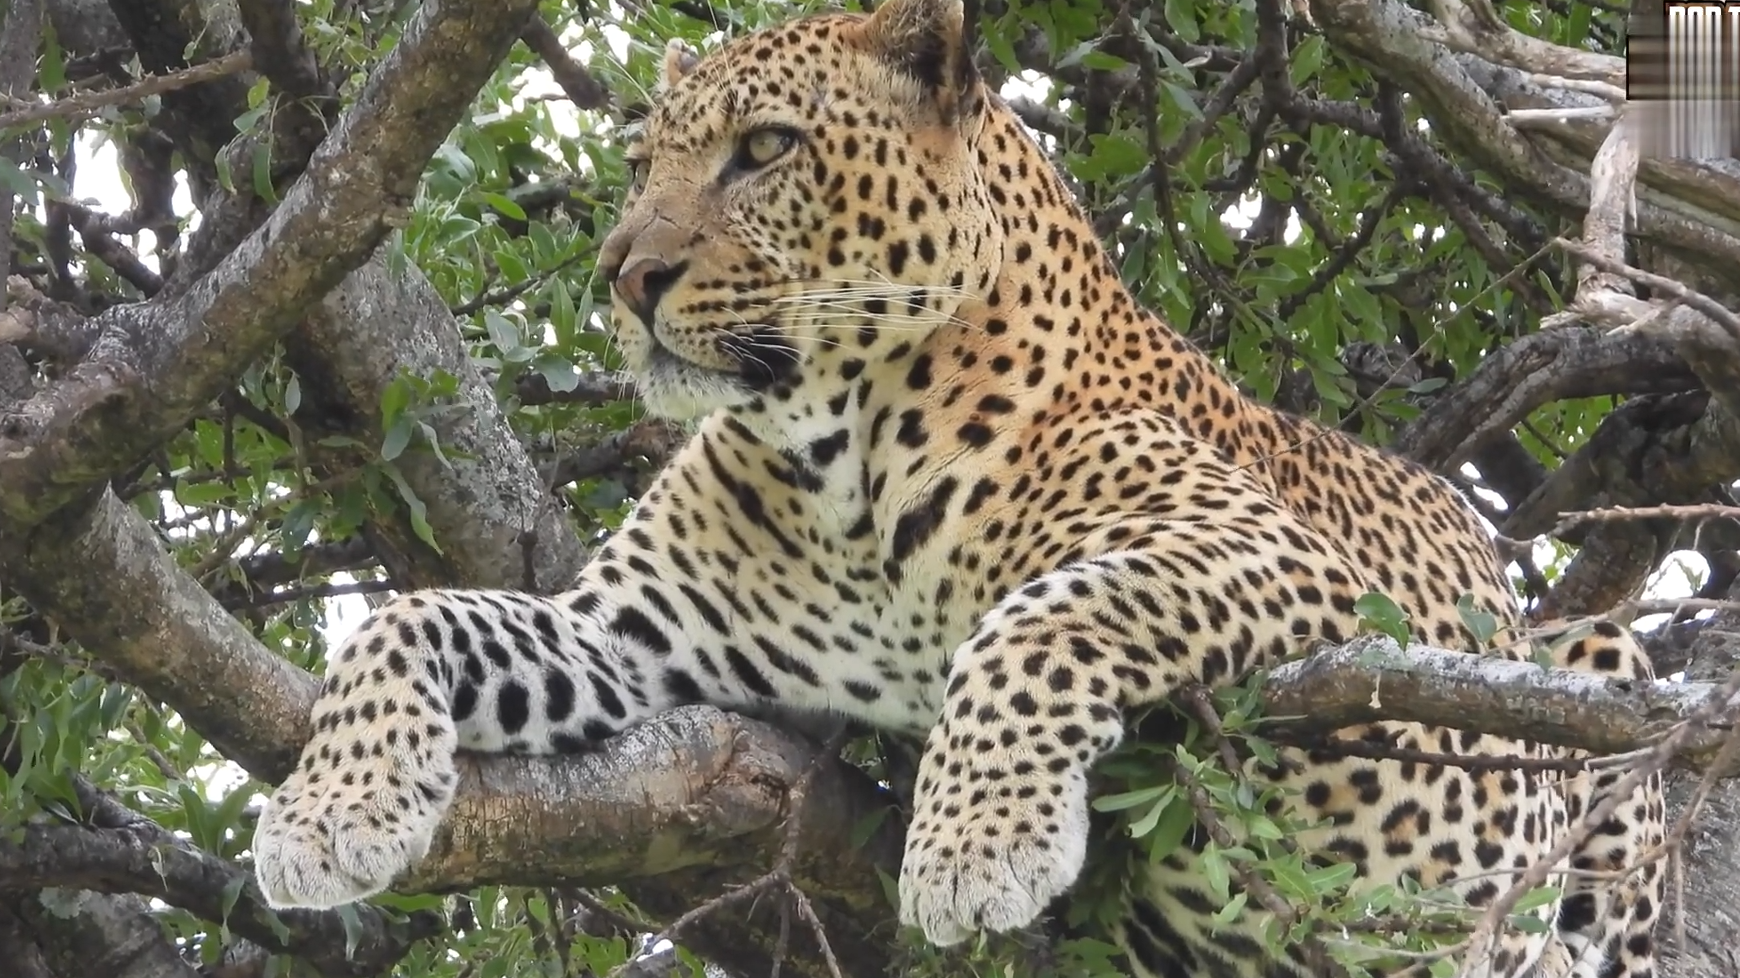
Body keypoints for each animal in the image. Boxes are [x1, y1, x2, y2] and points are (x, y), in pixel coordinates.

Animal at [252, 0, 1663, 967]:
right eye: (642, 165)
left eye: (765, 149)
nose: (623, 272)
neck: (836, 452)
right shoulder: (630, 640)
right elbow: (411, 617)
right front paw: (327, 810)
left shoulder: (1267, 550)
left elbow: (1038, 618)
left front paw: (976, 844)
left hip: (1597, 683)